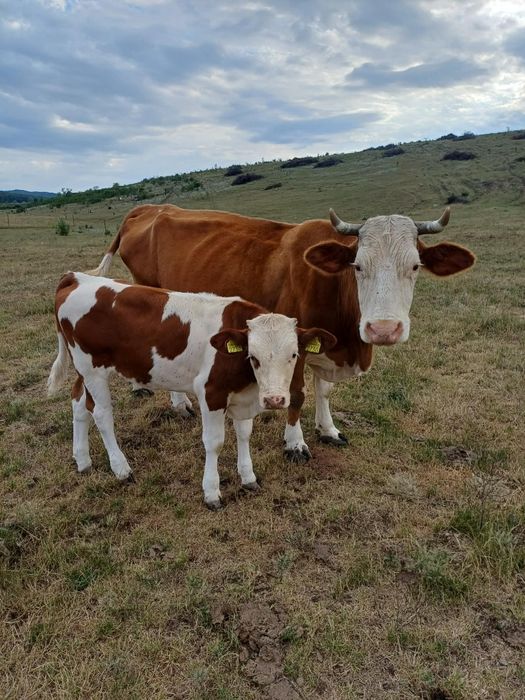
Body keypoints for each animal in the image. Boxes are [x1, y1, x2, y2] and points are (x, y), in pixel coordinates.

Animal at [47, 272, 335, 508]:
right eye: (253, 357)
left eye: (294, 355)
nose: (275, 399)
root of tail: (77, 277)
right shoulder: (211, 393)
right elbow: (215, 443)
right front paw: (211, 492)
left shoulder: (244, 396)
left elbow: (244, 434)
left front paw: (248, 476)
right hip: (92, 369)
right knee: (101, 415)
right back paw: (121, 468)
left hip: (84, 371)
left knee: (79, 403)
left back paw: (83, 460)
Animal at [90, 204, 475, 461]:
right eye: (357, 266)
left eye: (415, 266)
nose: (383, 329)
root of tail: (151, 208)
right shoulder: (296, 343)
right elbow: (298, 394)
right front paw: (294, 442)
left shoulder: (327, 345)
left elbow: (324, 391)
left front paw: (328, 429)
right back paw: (178, 402)